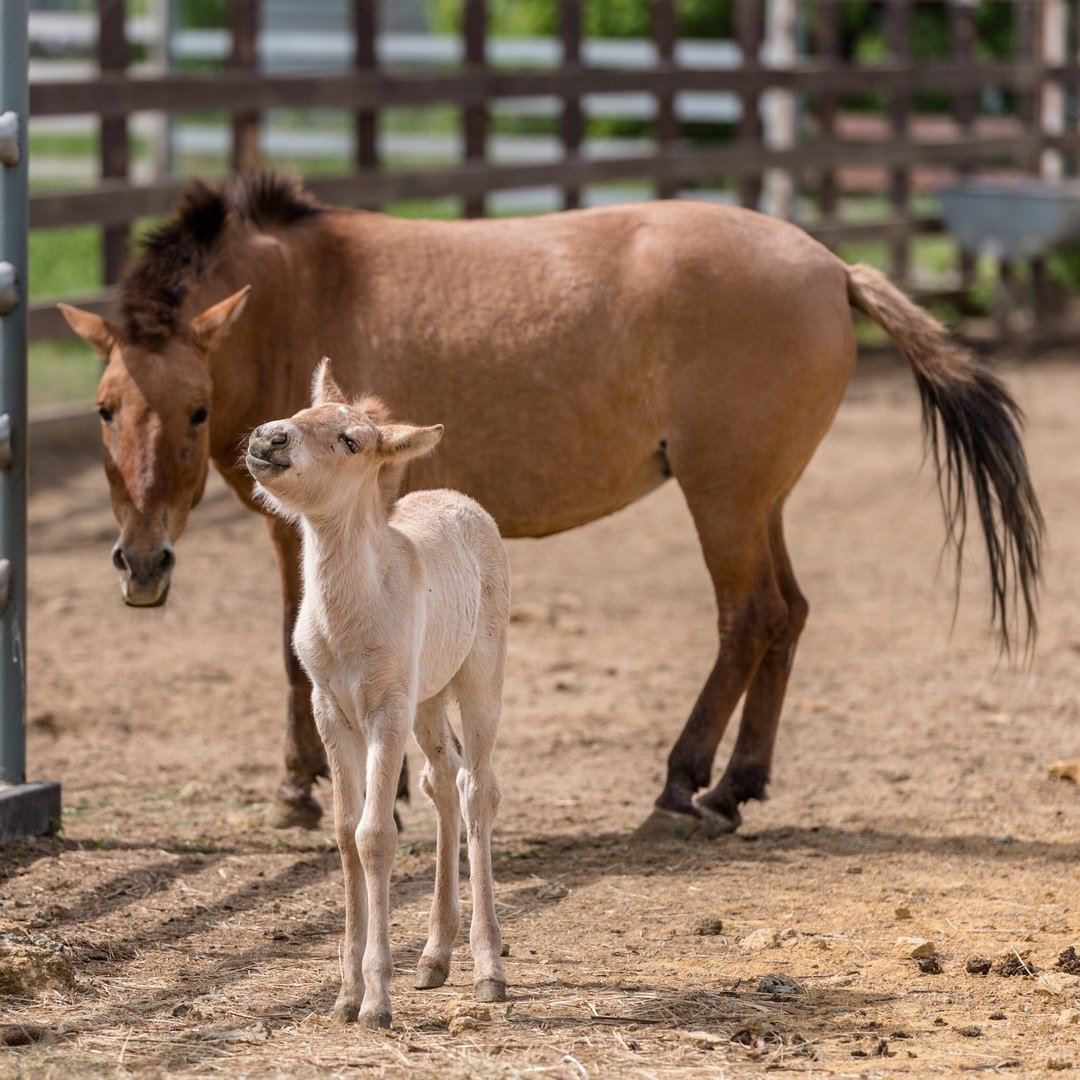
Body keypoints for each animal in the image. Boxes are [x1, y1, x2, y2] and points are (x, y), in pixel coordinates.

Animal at [56, 172, 1036, 838]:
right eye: (103, 410)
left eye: (194, 410)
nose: (142, 563)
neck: (301, 294)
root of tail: (833, 267)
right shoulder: (289, 532)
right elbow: (295, 654)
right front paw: (296, 787)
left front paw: (387, 790)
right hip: (762, 499)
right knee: (788, 614)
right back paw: (737, 785)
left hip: (724, 498)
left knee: (750, 616)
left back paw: (683, 786)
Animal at [247, 358, 507, 1023]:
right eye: (302, 411)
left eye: (351, 441)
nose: (269, 437)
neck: (350, 616)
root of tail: (461, 501)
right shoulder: (329, 707)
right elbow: (344, 832)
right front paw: (345, 993)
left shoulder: (385, 708)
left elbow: (375, 834)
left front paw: (376, 998)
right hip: (427, 697)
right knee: (443, 782)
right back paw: (435, 957)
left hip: (479, 677)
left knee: (477, 789)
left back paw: (487, 967)